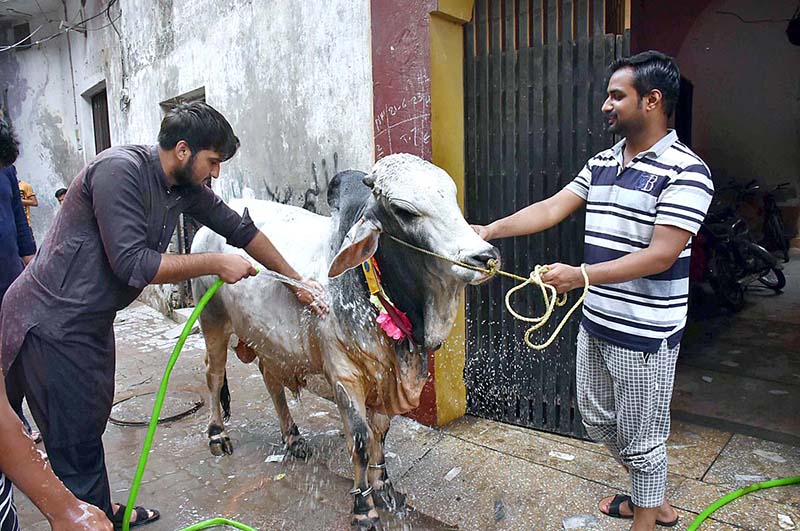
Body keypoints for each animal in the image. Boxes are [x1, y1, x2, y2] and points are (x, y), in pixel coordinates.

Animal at [191, 152, 496, 528]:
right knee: (214, 375)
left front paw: (385, 489)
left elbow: (380, 433)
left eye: (452, 197)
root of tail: (206, 228)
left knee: (271, 380)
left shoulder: (383, 378)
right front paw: (363, 507)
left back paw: (293, 439)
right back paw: (218, 436)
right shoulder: (345, 375)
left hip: (271, 340)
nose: (485, 256)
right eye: (405, 210)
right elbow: (362, 441)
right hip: (212, 320)